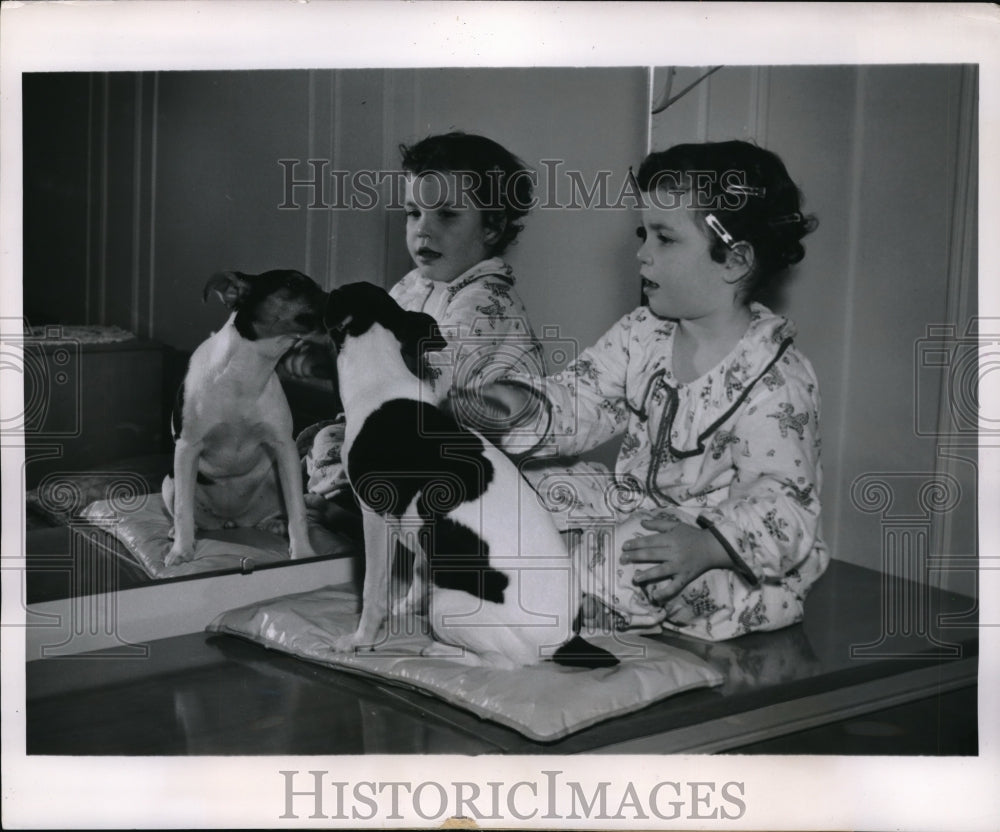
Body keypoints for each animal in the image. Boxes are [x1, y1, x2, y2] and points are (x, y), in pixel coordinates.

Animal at [160, 270, 324, 568]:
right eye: (293, 283)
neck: (245, 372)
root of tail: (231, 520)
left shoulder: (284, 449)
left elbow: (297, 510)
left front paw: (303, 554)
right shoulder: (187, 447)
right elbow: (182, 511)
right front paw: (181, 551)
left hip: (276, 476)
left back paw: (273, 523)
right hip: (171, 481)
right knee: (186, 513)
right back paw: (179, 534)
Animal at [324, 282, 616, 672]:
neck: (381, 376)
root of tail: (564, 642)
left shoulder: (375, 517)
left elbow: (373, 589)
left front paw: (360, 640)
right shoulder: (424, 530)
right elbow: (419, 571)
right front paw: (405, 608)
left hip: (450, 605)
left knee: (507, 662)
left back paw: (443, 651)